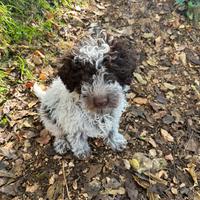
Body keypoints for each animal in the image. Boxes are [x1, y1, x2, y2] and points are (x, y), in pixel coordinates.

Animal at [33, 28, 136, 159]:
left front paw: (115, 140)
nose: (101, 102)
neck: (98, 114)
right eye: (84, 77)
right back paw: (61, 143)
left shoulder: (114, 115)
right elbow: (77, 136)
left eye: (111, 71)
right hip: (49, 117)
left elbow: (112, 128)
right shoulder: (73, 121)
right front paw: (81, 150)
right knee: (58, 132)